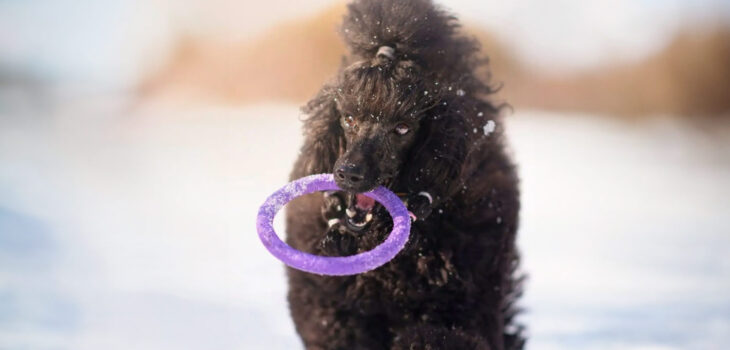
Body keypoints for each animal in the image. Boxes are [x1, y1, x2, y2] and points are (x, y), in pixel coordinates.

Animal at [286, 0, 524, 348]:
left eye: (402, 128)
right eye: (348, 118)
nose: (349, 173)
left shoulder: (461, 307)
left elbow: (441, 334)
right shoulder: (335, 311)